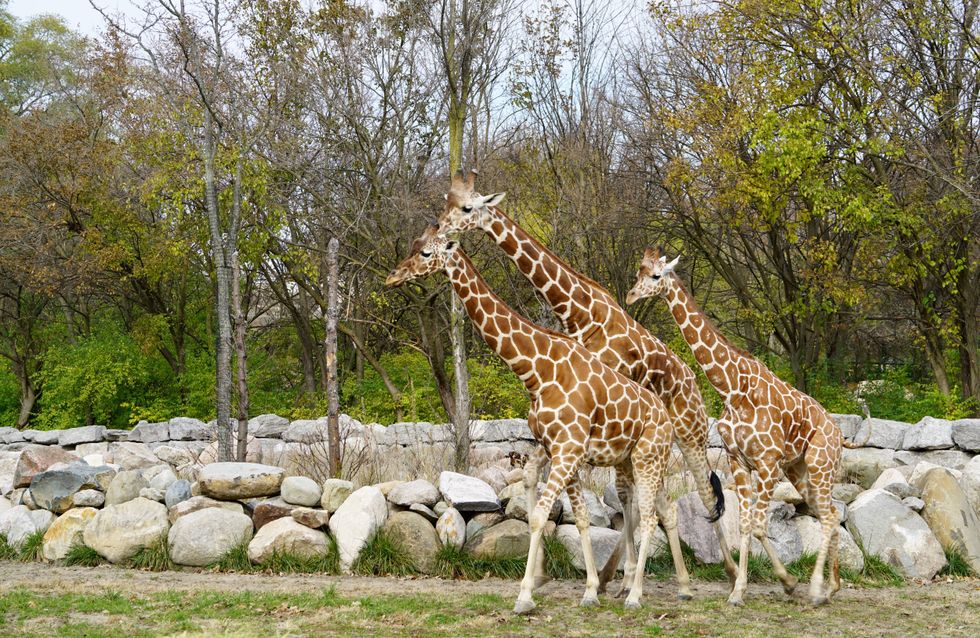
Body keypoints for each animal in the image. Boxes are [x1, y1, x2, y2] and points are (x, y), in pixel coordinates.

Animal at [386, 225, 687, 613]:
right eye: (414, 245)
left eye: (425, 253)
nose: (393, 276)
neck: (537, 369)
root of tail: (665, 417)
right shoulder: (553, 446)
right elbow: (560, 509)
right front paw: (583, 588)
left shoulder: (569, 449)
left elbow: (544, 515)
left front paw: (526, 595)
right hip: (636, 459)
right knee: (659, 509)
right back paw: (675, 585)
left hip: (648, 456)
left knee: (649, 514)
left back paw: (636, 595)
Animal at [435, 171, 736, 590]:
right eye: (447, 202)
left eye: (466, 208)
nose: (439, 227)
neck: (579, 312)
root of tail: (692, 381)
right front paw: (597, 577)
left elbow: (614, 492)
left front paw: (608, 578)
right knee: (656, 495)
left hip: (689, 433)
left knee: (704, 494)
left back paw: (729, 573)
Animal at [625, 248, 845, 606]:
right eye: (637, 273)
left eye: (656, 276)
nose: (631, 296)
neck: (732, 387)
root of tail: (840, 434)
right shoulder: (737, 460)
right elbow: (744, 524)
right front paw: (741, 590)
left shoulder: (767, 463)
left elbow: (757, 525)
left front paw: (781, 582)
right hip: (800, 470)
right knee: (832, 514)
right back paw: (832, 587)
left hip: (820, 465)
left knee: (828, 516)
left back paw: (816, 589)